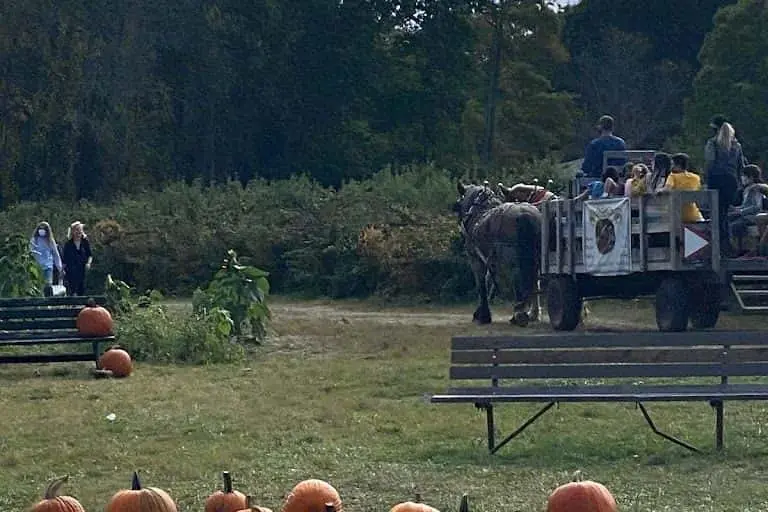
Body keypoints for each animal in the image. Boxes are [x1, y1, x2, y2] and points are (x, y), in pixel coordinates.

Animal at [452, 181, 544, 324]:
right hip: (536, 256)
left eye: (458, 205)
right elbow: (489, 281)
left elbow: (481, 284)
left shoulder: (476, 259)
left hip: (513, 258)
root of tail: (525, 215)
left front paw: (483, 315)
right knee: (533, 280)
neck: (478, 213)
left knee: (519, 279)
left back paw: (519, 314)